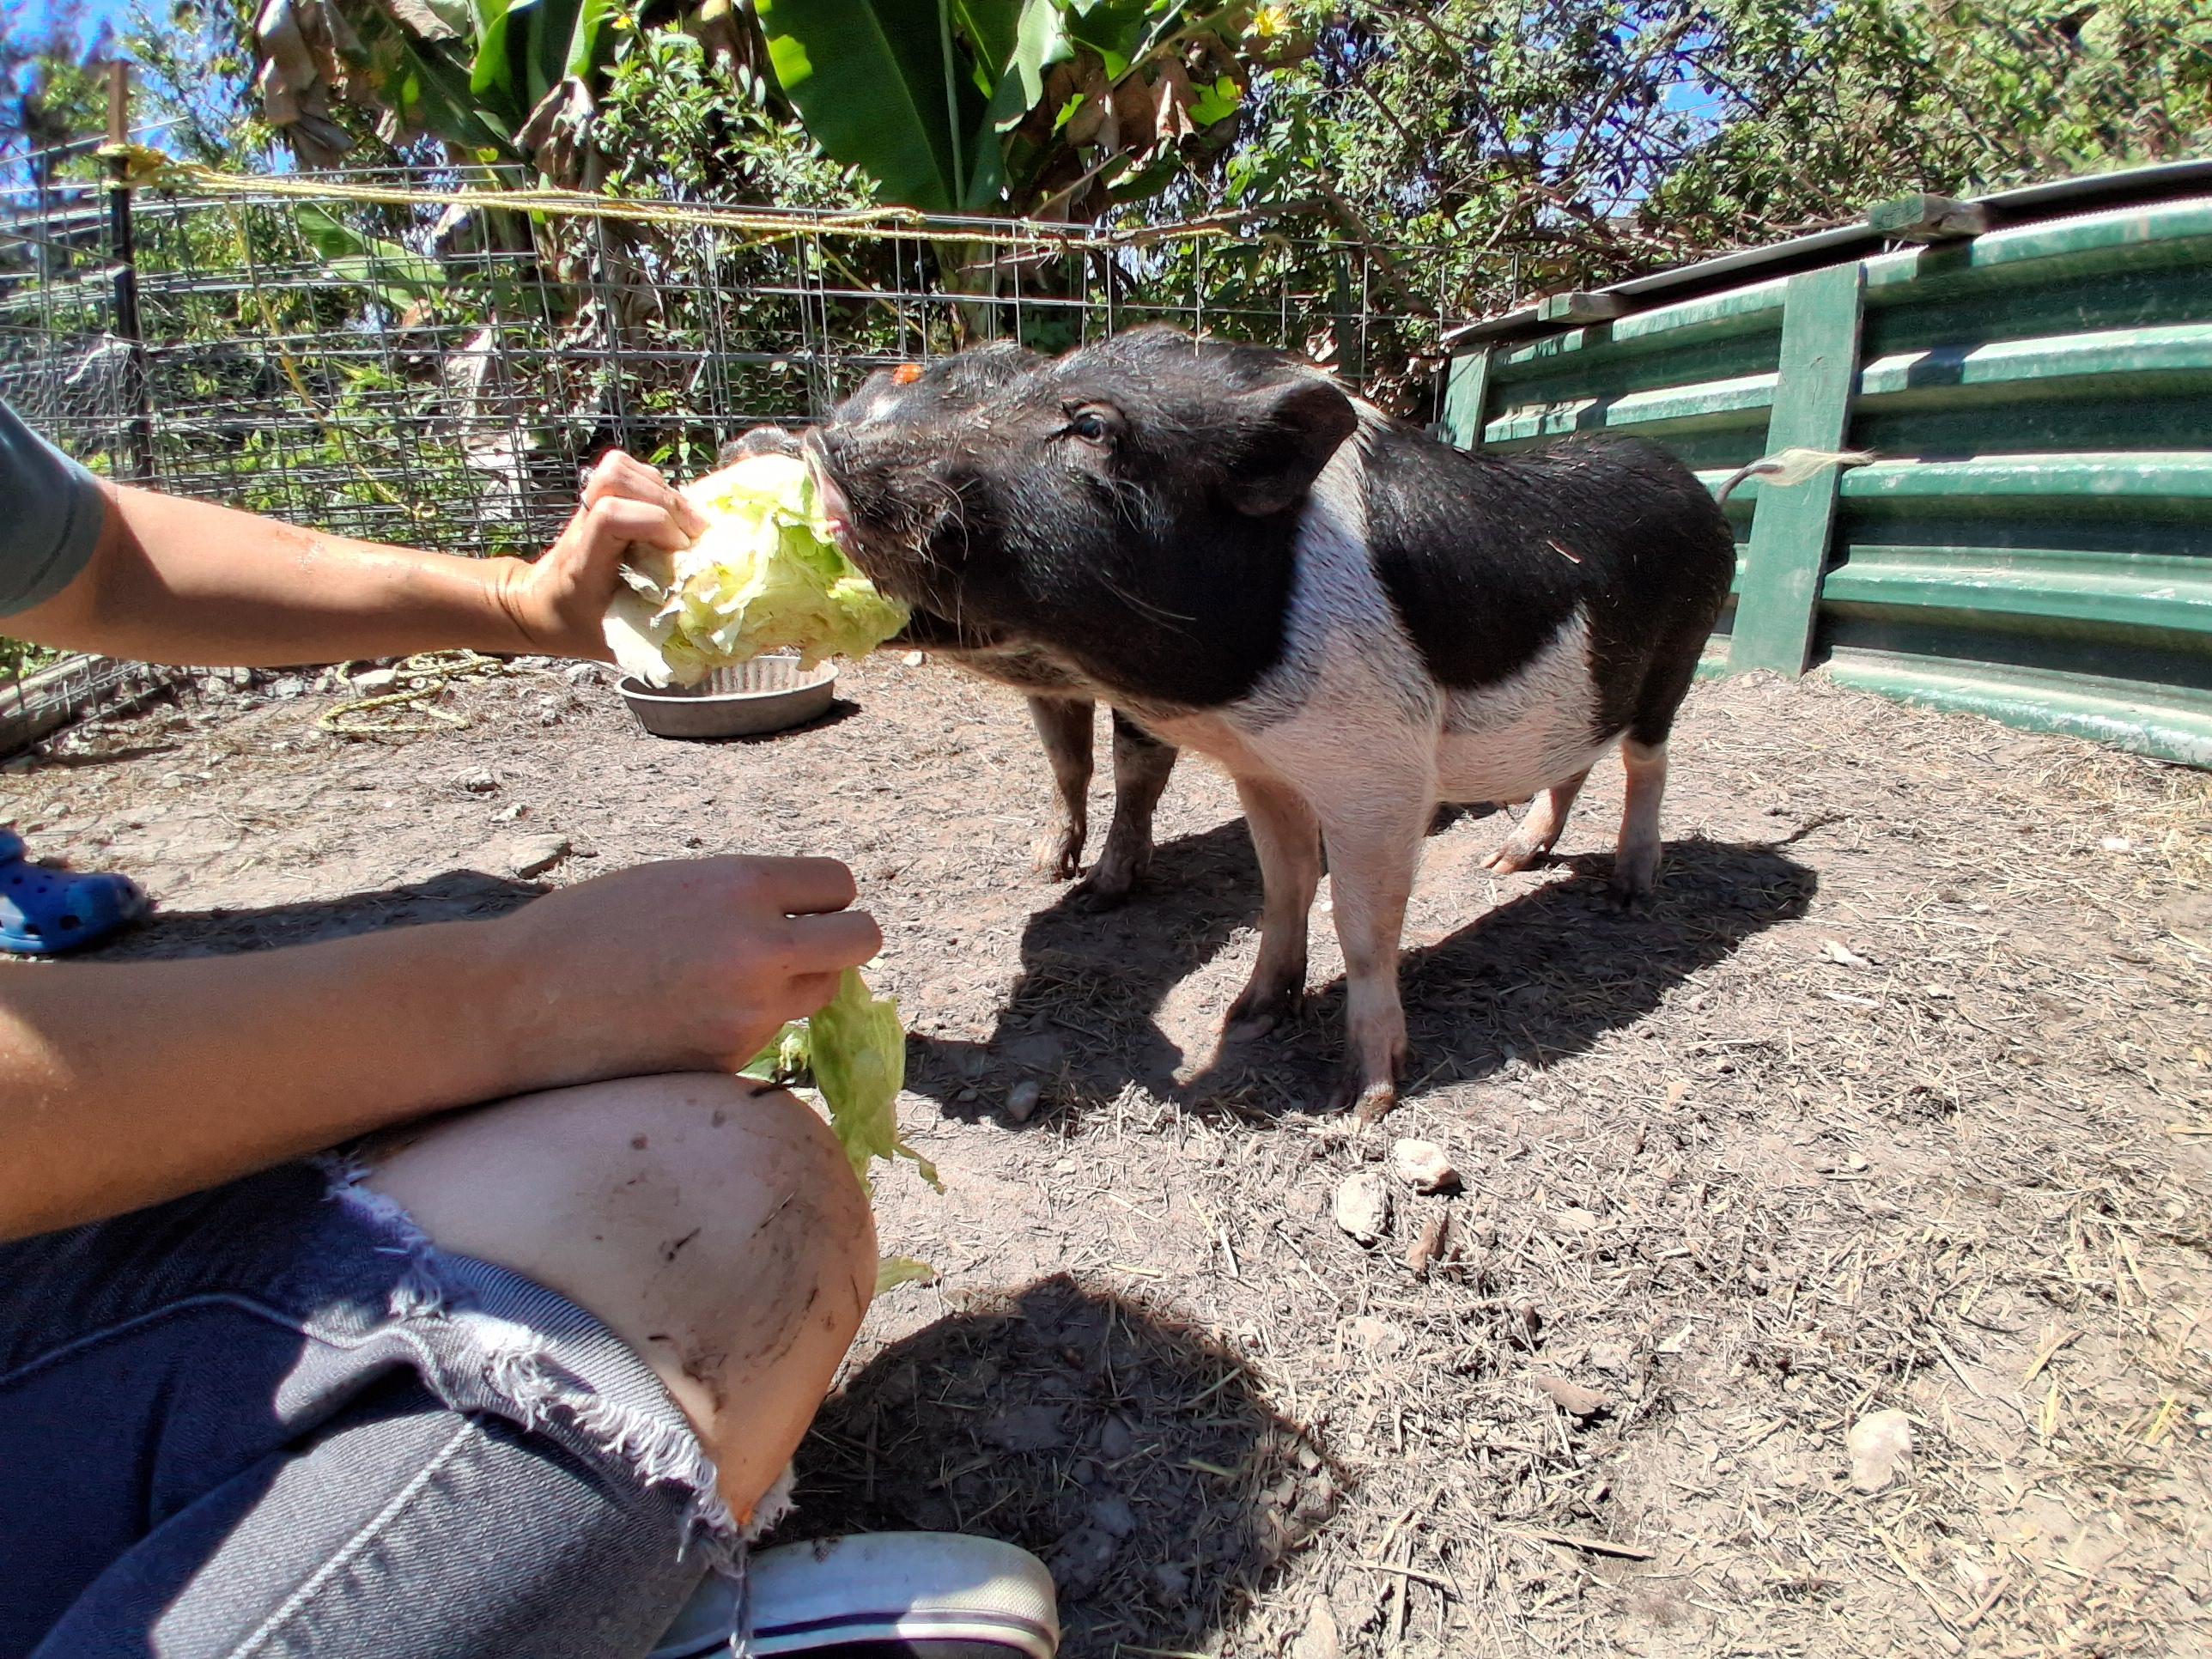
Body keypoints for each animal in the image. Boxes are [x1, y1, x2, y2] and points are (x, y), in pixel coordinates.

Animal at [718, 345, 1179, 901]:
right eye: (866, 397)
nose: (810, 447)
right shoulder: (1049, 688)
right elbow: (1066, 761)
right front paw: (1043, 869)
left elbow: (1135, 769)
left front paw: (1104, 890)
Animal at [807, 325, 1753, 1119]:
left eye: (1090, 426)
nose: (819, 447)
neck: (1238, 704)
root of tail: (1701, 488)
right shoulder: (1262, 767)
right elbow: (1284, 885)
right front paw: (1249, 1015)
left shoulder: (1380, 773)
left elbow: (1363, 926)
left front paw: (1363, 1100)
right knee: (1574, 762)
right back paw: (1510, 861)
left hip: (1675, 665)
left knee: (1648, 766)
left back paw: (1629, 895)